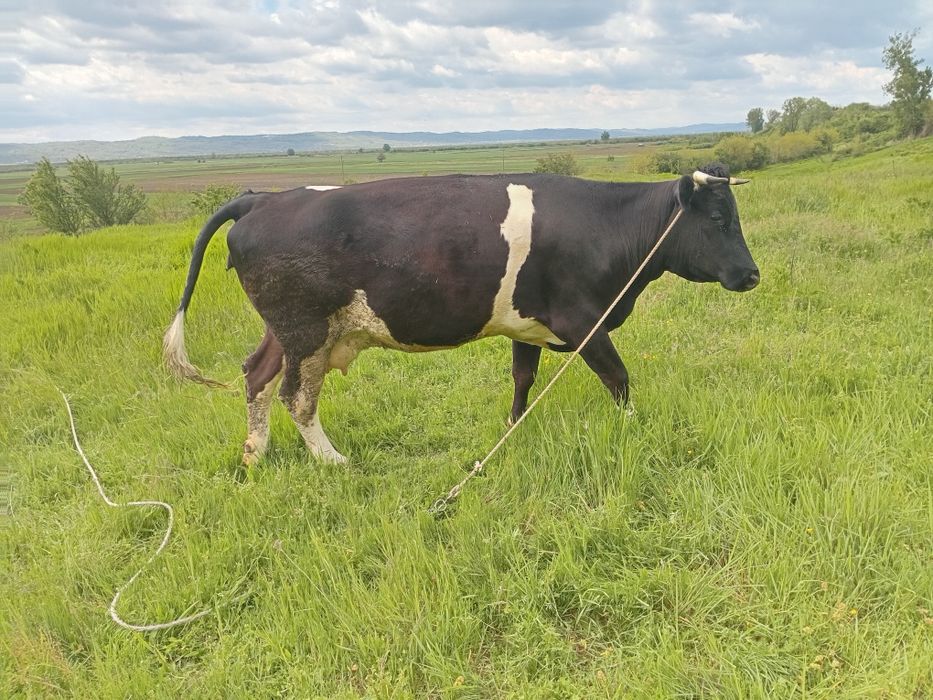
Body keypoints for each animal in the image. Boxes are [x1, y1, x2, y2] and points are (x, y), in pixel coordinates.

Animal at [164, 164, 759, 465]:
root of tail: (262, 197)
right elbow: (618, 377)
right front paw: (634, 428)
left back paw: (255, 455)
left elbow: (522, 379)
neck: (604, 227)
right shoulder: (583, 321)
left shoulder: (529, 325)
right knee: (296, 397)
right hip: (306, 329)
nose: (752, 275)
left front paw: (514, 428)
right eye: (717, 220)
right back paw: (332, 461)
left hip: (287, 331)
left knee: (256, 376)